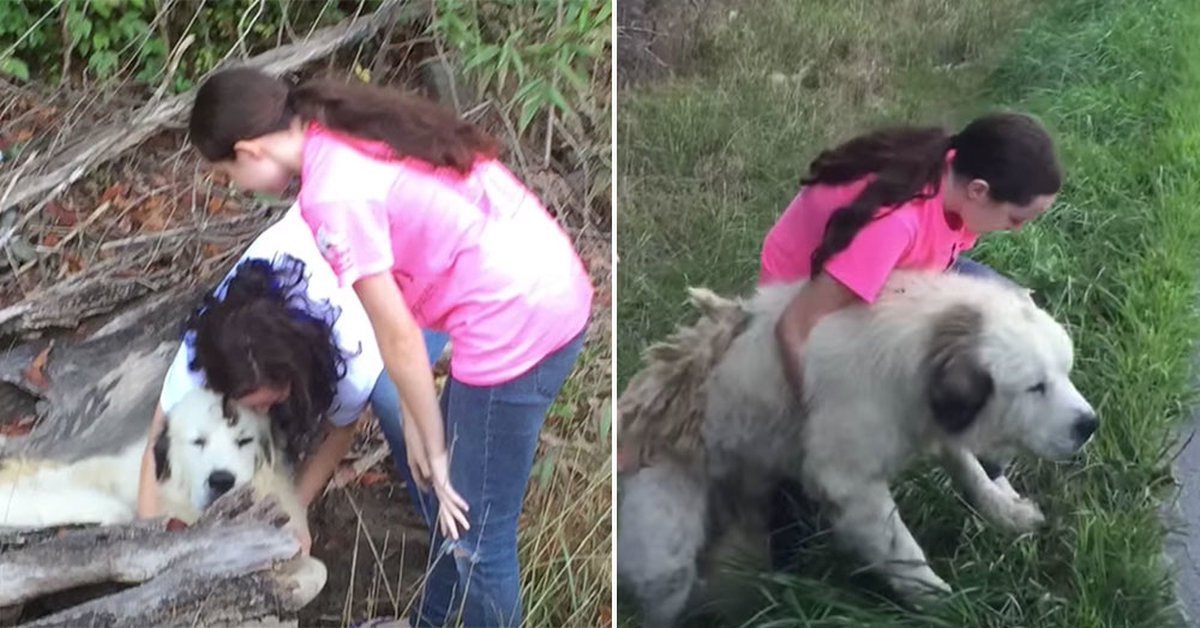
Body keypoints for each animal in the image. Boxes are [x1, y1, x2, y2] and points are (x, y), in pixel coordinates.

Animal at [619, 271, 1099, 628]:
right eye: (1036, 387)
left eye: (1065, 372)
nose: (1089, 425)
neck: (920, 342)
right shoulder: (848, 483)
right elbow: (902, 550)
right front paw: (943, 603)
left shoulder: (935, 421)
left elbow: (971, 472)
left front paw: (1006, 511)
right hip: (667, 553)